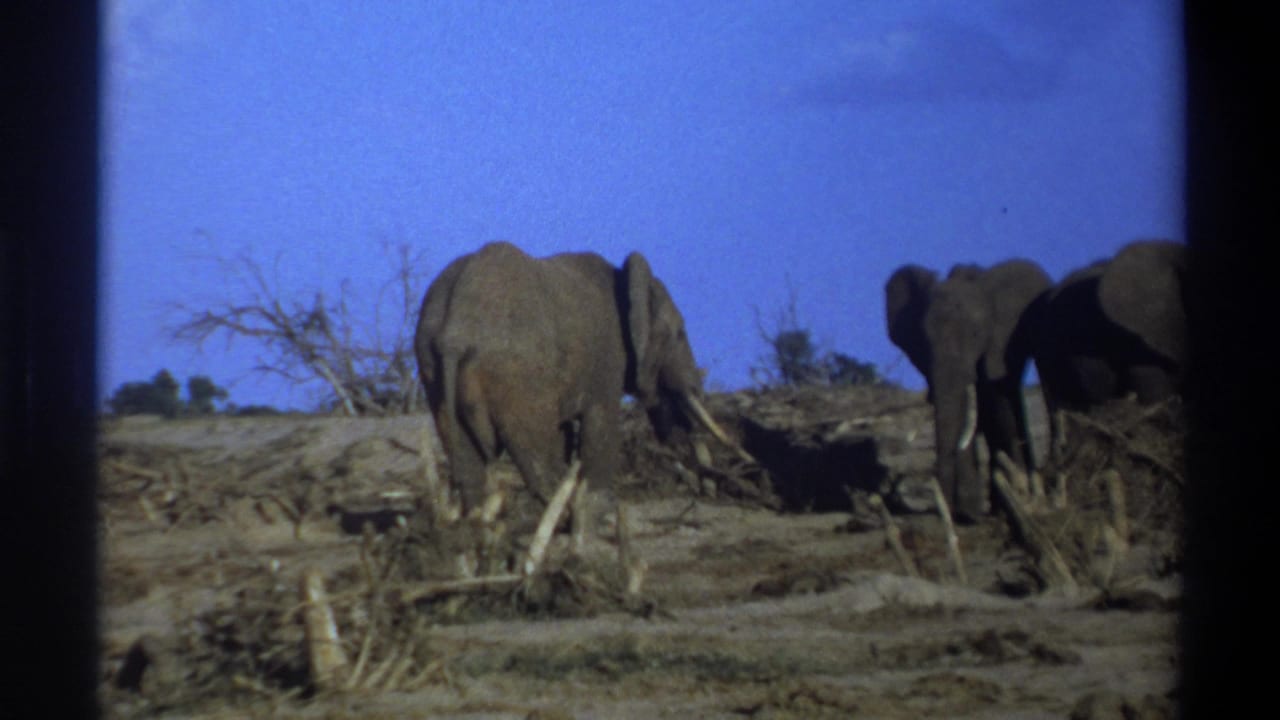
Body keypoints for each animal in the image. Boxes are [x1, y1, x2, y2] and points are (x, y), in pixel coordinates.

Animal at [415, 241, 742, 558]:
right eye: (679, 334)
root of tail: (456, 332)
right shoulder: (607, 360)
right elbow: (601, 424)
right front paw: (601, 514)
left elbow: (565, 435)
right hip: (517, 375)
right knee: (534, 456)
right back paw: (565, 522)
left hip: (434, 368)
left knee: (469, 461)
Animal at [885, 259, 1052, 523]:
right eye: (924, 337)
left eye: (975, 334)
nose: (952, 513)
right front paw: (967, 512)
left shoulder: (996, 345)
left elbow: (996, 407)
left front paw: (972, 512)